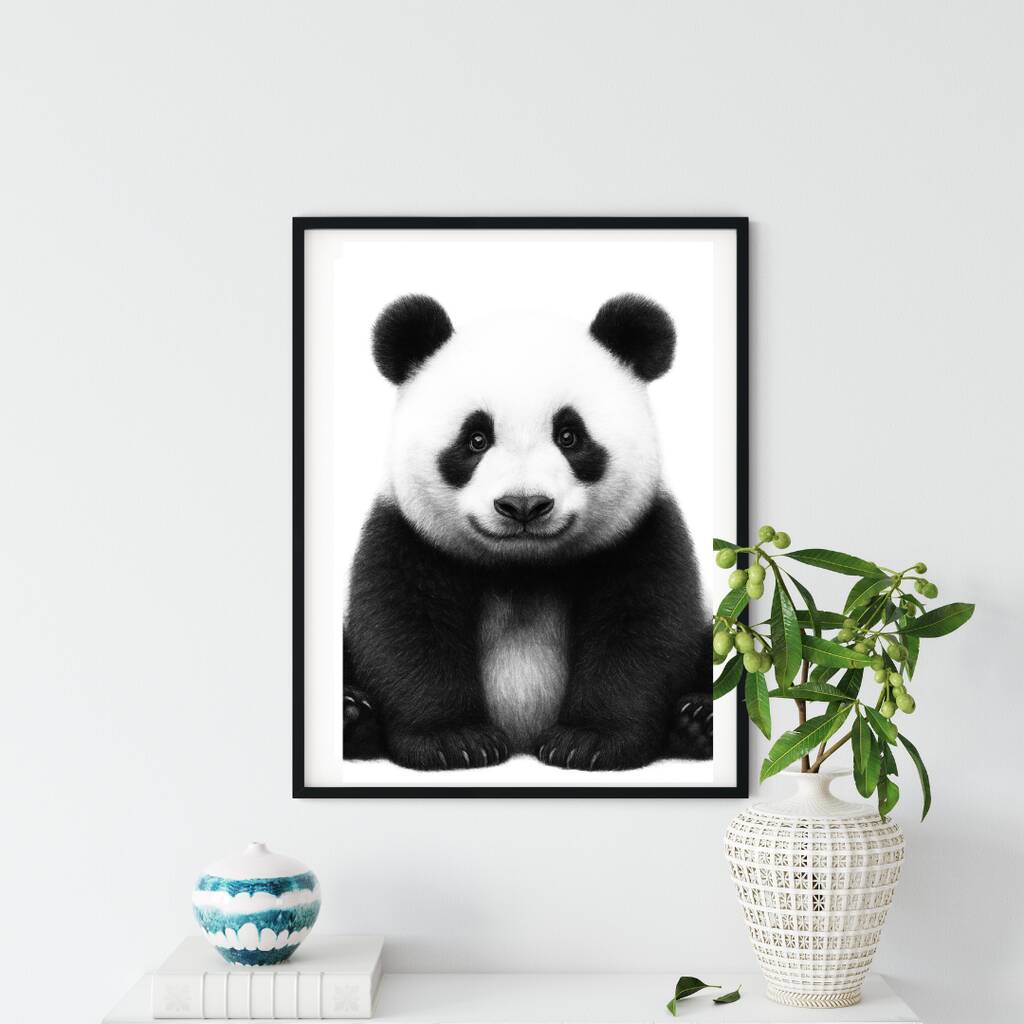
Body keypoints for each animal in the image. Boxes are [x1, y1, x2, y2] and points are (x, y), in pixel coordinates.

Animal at [342, 293, 712, 772]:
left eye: (570, 436)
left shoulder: (641, 534)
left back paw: (699, 720)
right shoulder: (408, 535)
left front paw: (587, 742)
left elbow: (641, 632)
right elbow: (405, 630)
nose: (523, 506)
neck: (522, 567)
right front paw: (455, 741)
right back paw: (352, 715)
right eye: (476, 439)